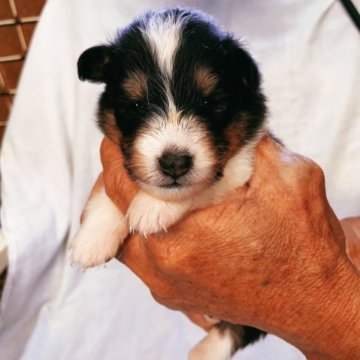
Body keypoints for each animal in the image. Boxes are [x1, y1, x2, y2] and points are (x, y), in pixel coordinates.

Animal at [74, 8, 268, 360]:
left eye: (211, 103)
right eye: (135, 105)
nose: (175, 162)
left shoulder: (243, 164)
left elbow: (204, 185)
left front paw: (152, 207)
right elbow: (108, 189)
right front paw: (92, 238)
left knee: (242, 328)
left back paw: (206, 351)